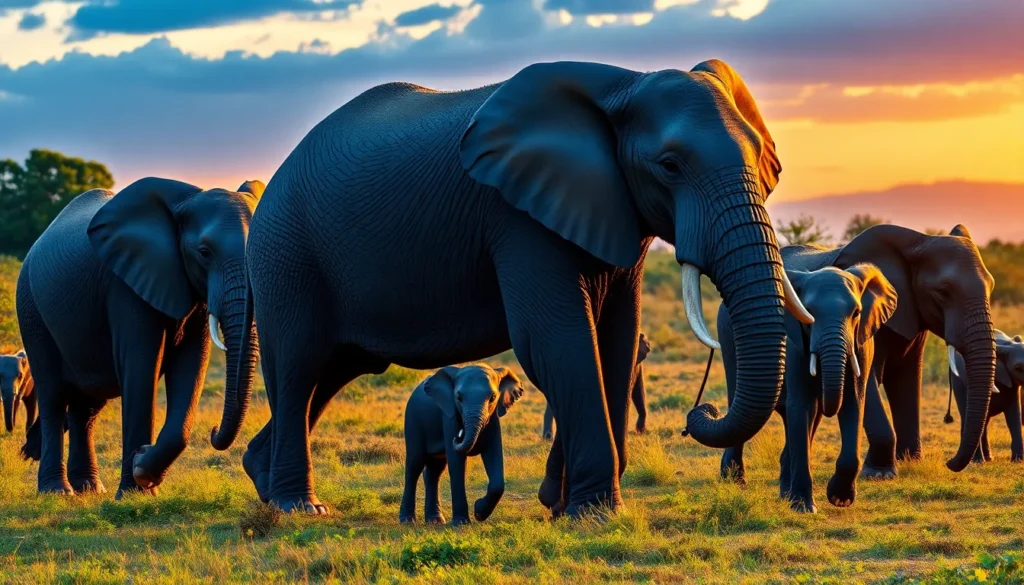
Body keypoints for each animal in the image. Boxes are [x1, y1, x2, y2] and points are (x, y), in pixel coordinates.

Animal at [16, 178, 261, 497]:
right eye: (204, 252)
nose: (214, 431)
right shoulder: (124, 286)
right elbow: (142, 364)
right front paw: (138, 487)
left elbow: (193, 365)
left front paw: (143, 471)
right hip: (31, 307)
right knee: (53, 395)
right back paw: (58, 491)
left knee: (87, 406)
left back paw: (91, 489)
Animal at [400, 364, 524, 525]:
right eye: (458, 398)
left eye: (493, 397)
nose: (459, 435)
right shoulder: (449, 417)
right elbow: (457, 464)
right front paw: (461, 522)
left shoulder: (493, 420)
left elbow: (494, 459)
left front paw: (479, 512)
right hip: (413, 419)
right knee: (415, 464)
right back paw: (407, 520)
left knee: (435, 470)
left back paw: (435, 520)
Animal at [719, 264, 897, 512]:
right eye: (808, 312)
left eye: (856, 313)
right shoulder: (794, 346)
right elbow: (801, 405)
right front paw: (803, 507)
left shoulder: (862, 344)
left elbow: (853, 402)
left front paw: (839, 499)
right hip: (729, 340)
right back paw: (735, 482)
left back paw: (784, 493)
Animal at [744, 224, 995, 479]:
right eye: (943, 292)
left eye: (991, 287)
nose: (950, 463)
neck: (917, 241)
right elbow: (867, 381)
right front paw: (879, 474)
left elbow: (906, 379)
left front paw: (910, 462)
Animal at [948, 330, 1024, 462]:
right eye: (1018, 368)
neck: (1007, 345)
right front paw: (978, 462)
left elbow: (1014, 415)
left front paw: (1018, 461)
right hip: (958, 382)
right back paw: (978, 460)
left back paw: (988, 458)